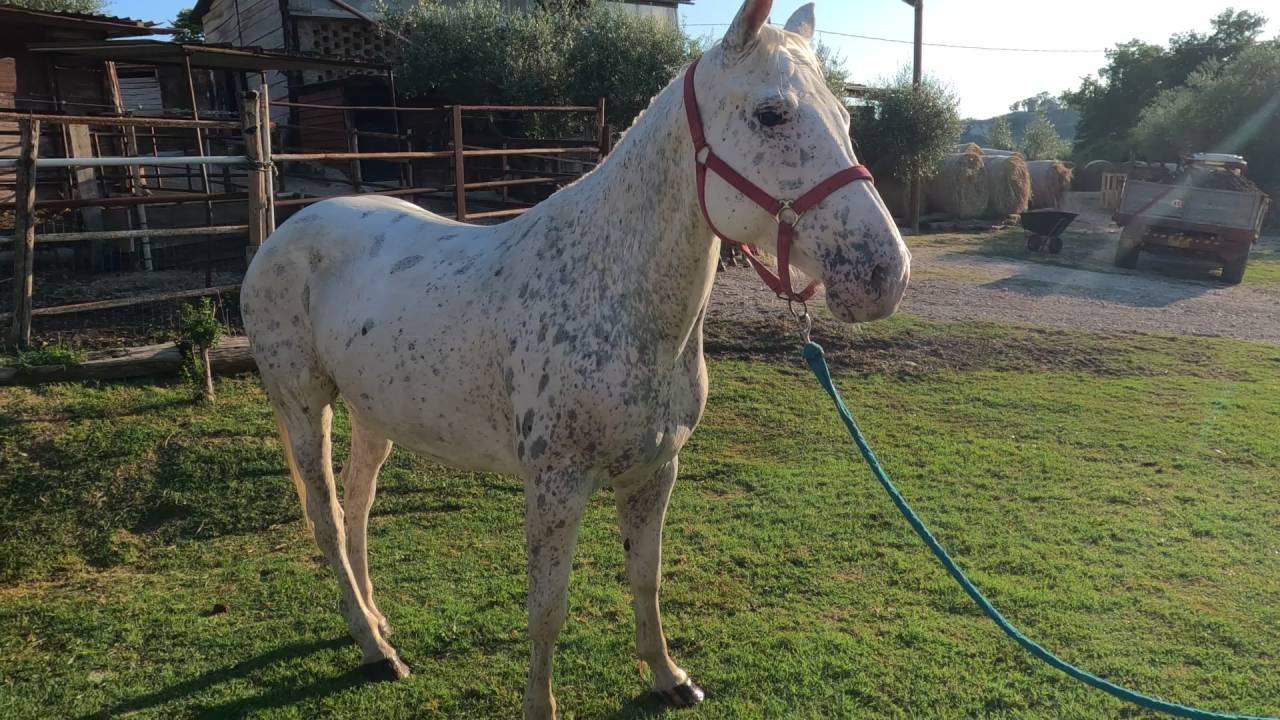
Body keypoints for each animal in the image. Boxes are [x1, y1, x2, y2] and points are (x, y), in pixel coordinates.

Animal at [240, 1, 910, 717]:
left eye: (845, 119)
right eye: (772, 114)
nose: (886, 273)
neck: (613, 293)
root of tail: (285, 232)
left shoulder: (654, 471)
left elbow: (646, 580)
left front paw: (668, 676)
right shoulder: (555, 483)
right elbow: (547, 610)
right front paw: (542, 705)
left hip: (375, 415)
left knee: (358, 505)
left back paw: (374, 618)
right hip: (305, 406)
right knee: (328, 518)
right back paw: (373, 647)